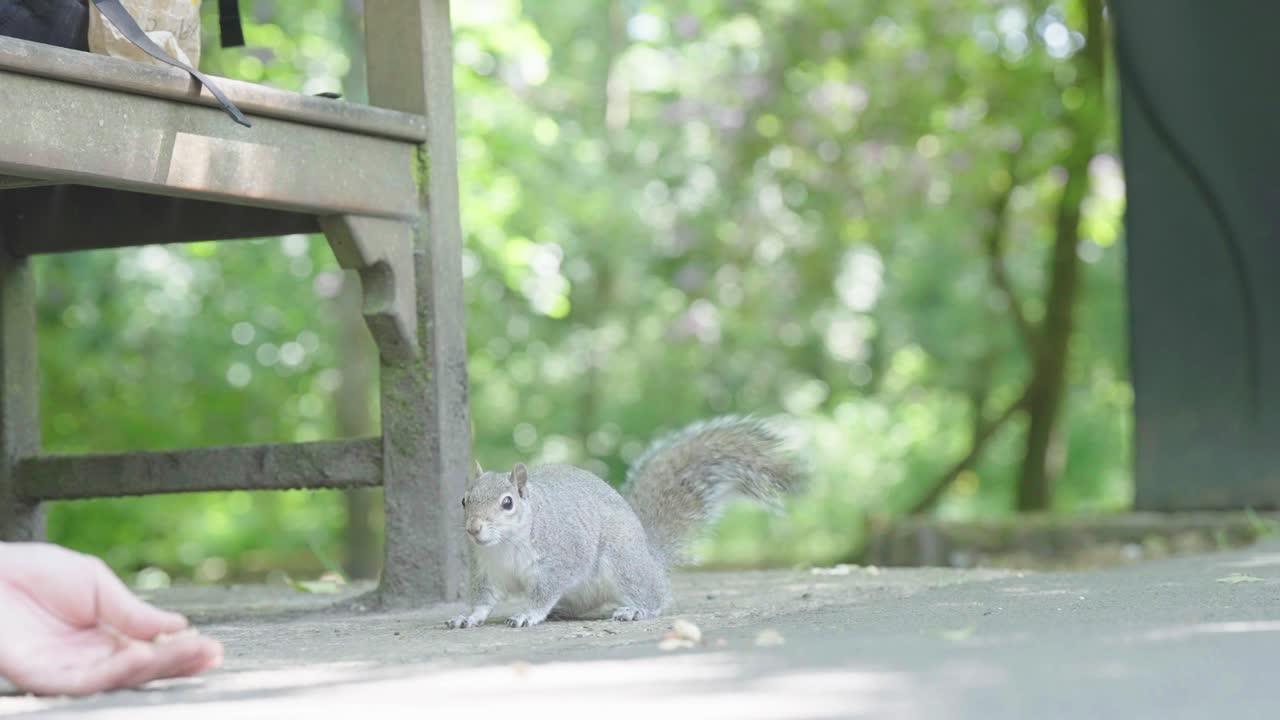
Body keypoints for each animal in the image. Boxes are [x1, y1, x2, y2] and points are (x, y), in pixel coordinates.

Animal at [445, 415, 805, 629]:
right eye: (463, 500)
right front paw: (467, 617)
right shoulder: (487, 571)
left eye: (507, 503)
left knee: (656, 597)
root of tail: (650, 554)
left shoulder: (561, 558)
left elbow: (543, 593)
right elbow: (483, 600)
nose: (473, 529)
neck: (505, 546)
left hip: (622, 562)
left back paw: (636, 610)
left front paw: (527, 614)